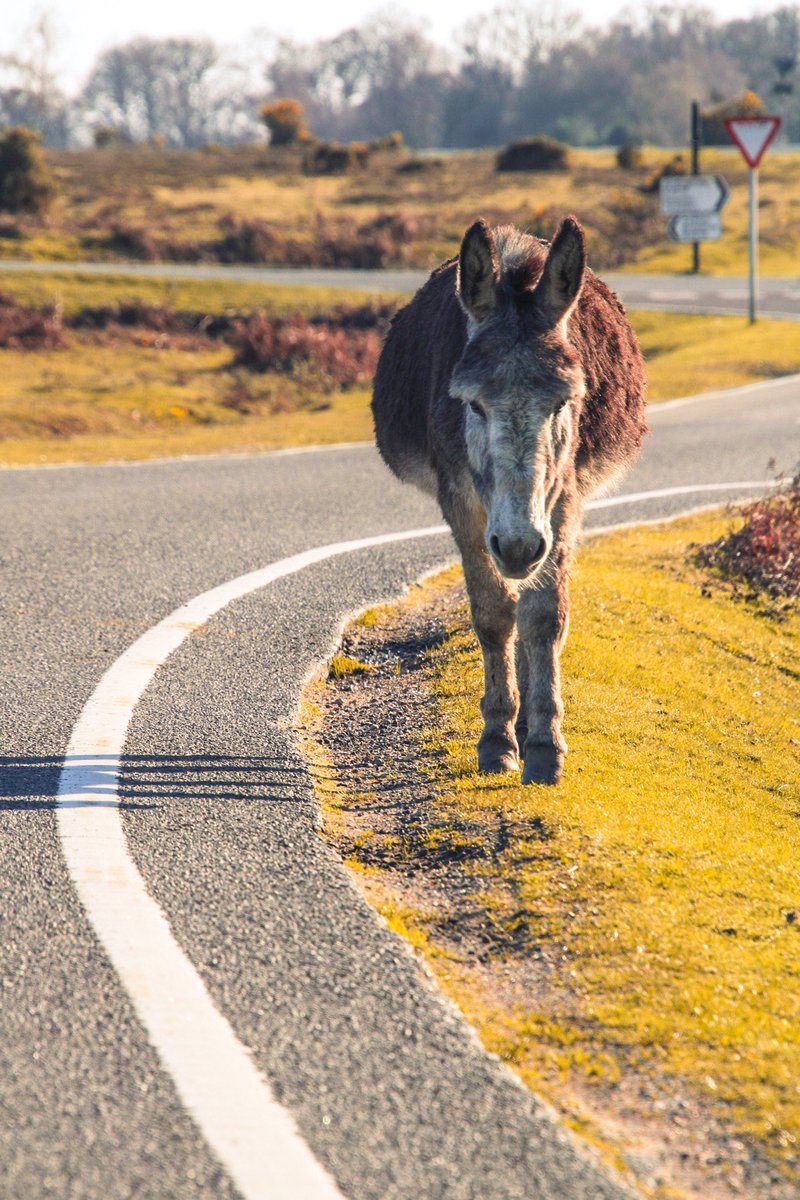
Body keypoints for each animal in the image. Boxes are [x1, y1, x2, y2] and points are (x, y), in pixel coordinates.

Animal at [371, 216, 647, 785]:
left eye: (564, 403)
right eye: (472, 405)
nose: (519, 546)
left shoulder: (563, 498)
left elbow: (544, 617)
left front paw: (543, 744)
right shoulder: (460, 501)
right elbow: (494, 614)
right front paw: (497, 739)